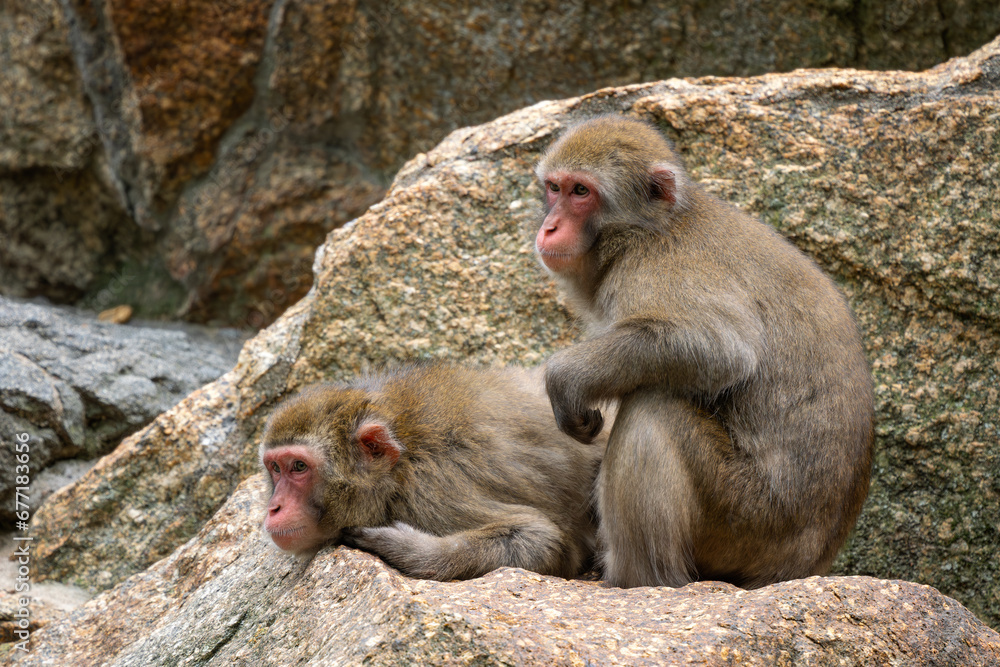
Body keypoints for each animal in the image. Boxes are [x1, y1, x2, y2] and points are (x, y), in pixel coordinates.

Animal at [259, 364, 606, 581]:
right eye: (275, 468)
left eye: (299, 467)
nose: (274, 508)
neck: (399, 469)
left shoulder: (432, 492)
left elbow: (543, 540)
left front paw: (402, 547)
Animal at [532, 115, 874, 589]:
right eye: (554, 188)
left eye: (581, 191)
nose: (549, 227)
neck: (648, 230)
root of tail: (807, 565)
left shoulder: (655, 268)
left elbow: (720, 349)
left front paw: (566, 377)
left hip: (748, 518)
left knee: (655, 406)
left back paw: (639, 578)